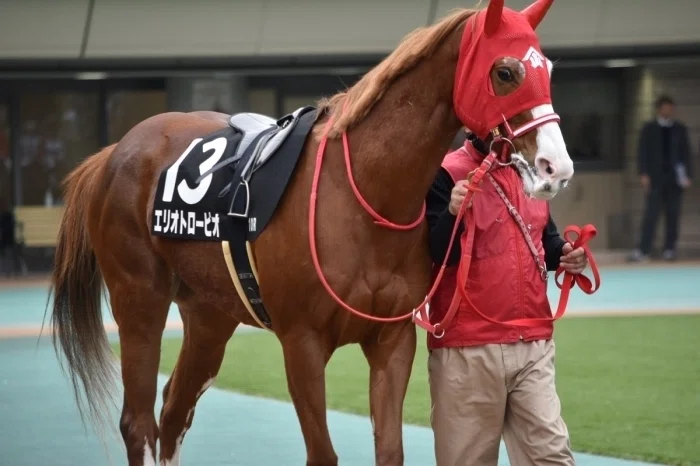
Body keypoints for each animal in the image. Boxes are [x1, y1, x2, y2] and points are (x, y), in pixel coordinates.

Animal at [47, 1, 574, 465]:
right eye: (505, 72)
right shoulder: (301, 344)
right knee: (139, 424)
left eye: (547, 67)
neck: (363, 194)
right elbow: (322, 454)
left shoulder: (392, 341)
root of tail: (116, 151)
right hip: (139, 299)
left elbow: (390, 450)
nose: (558, 167)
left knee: (175, 412)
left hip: (210, 314)